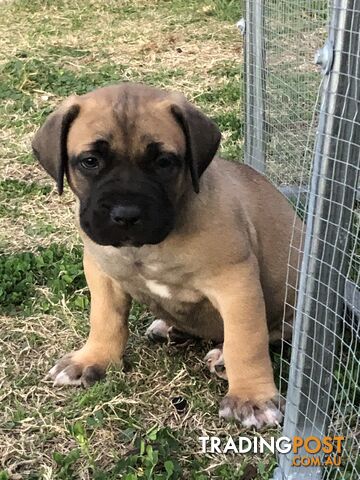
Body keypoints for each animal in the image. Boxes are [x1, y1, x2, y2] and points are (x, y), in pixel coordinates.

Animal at [32, 82, 302, 428]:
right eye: (90, 161)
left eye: (164, 162)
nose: (126, 214)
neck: (144, 247)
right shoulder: (101, 272)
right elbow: (105, 319)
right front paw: (93, 359)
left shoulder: (236, 282)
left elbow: (245, 341)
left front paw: (251, 398)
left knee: (267, 334)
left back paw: (222, 358)